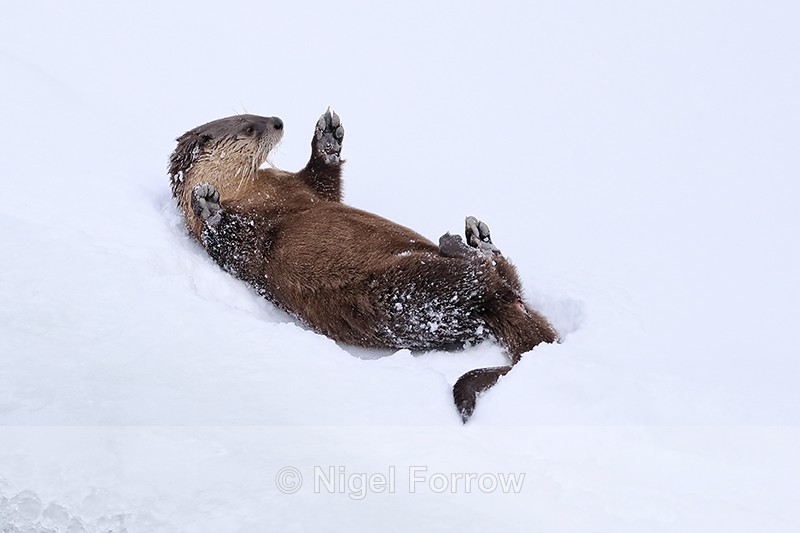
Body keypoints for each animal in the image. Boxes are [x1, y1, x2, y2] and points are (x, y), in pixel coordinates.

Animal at [168, 110, 557, 422]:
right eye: (249, 127)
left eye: (252, 112)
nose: (277, 121)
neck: (252, 192)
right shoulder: (239, 246)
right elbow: (234, 241)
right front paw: (210, 208)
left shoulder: (300, 188)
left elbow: (323, 185)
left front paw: (328, 138)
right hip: (409, 285)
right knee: (482, 279)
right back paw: (461, 245)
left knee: (506, 279)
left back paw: (479, 239)